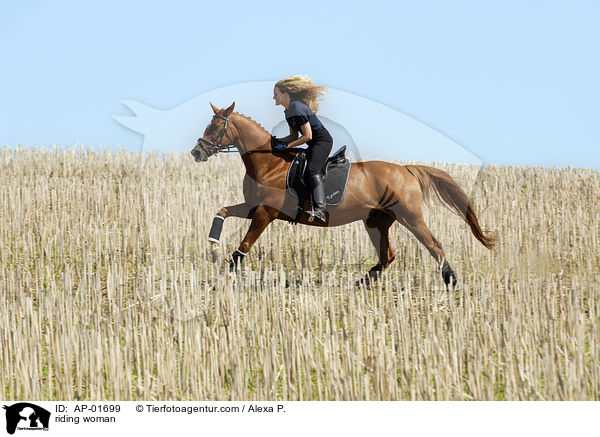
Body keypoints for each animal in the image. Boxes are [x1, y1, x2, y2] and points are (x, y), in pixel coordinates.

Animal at [192, 102, 496, 286]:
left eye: (215, 127)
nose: (197, 152)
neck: (268, 162)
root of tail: (406, 170)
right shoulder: (253, 207)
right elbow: (222, 211)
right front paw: (213, 248)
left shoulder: (265, 213)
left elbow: (243, 247)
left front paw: (223, 274)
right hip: (377, 221)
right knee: (388, 255)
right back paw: (363, 282)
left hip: (409, 217)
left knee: (434, 245)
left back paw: (451, 282)